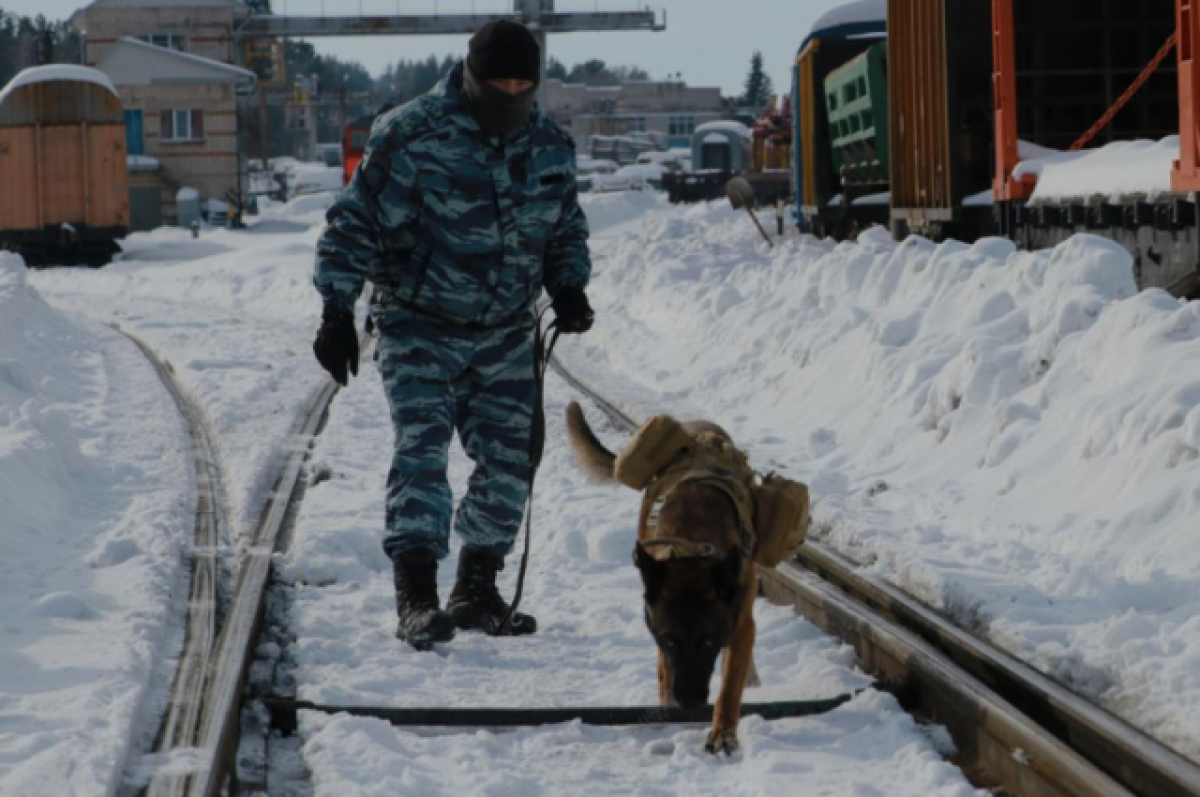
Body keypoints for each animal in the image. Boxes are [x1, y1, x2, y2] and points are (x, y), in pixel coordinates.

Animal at [564, 400, 753, 758]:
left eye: (709, 642)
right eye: (670, 641)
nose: (689, 704)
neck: (692, 542)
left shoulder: (740, 622)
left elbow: (730, 685)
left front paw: (723, 733)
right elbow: (665, 667)